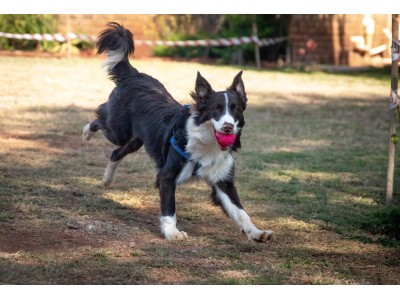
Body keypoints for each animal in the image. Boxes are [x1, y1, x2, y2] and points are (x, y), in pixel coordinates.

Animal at [83, 24, 274, 244]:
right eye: (216, 108)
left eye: (236, 109)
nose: (228, 128)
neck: (206, 144)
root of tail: (135, 76)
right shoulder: (167, 176)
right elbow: (169, 209)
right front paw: (172, 232)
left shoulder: (222, 181)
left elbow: (241, 212)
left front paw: (257, 232)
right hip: (118, 130)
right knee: (99, 119)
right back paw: (87, 133)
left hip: (136, 140)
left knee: (116, 152)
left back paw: (107, 179)